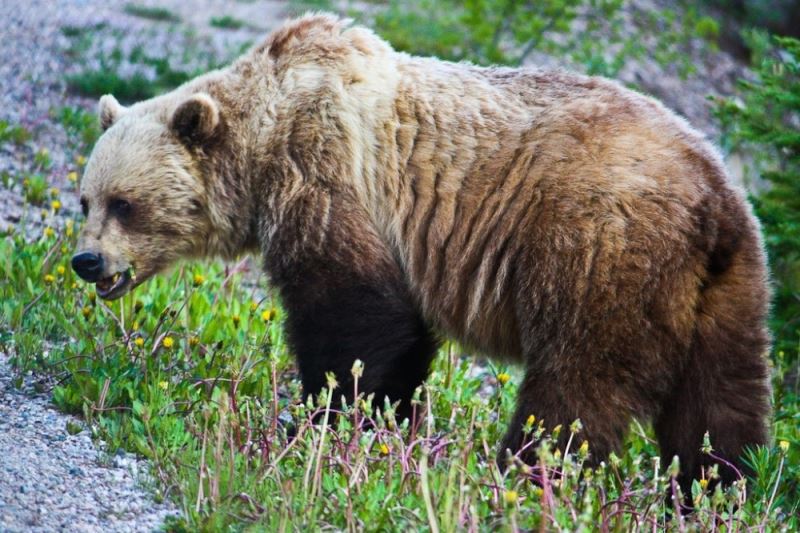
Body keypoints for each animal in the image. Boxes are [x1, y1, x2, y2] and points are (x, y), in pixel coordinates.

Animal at [72, 12, 772, 494]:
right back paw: (713, 488)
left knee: (580, 382)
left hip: (601, 247)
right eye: (86, 200)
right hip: (728, 288)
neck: (263, 140)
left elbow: (357, 314)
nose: (87, 263)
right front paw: (382, 426)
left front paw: (327, 420)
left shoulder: (329, 169)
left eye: (124, 203)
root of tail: (711, 195)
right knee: (721, 401)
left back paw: (525, 471)